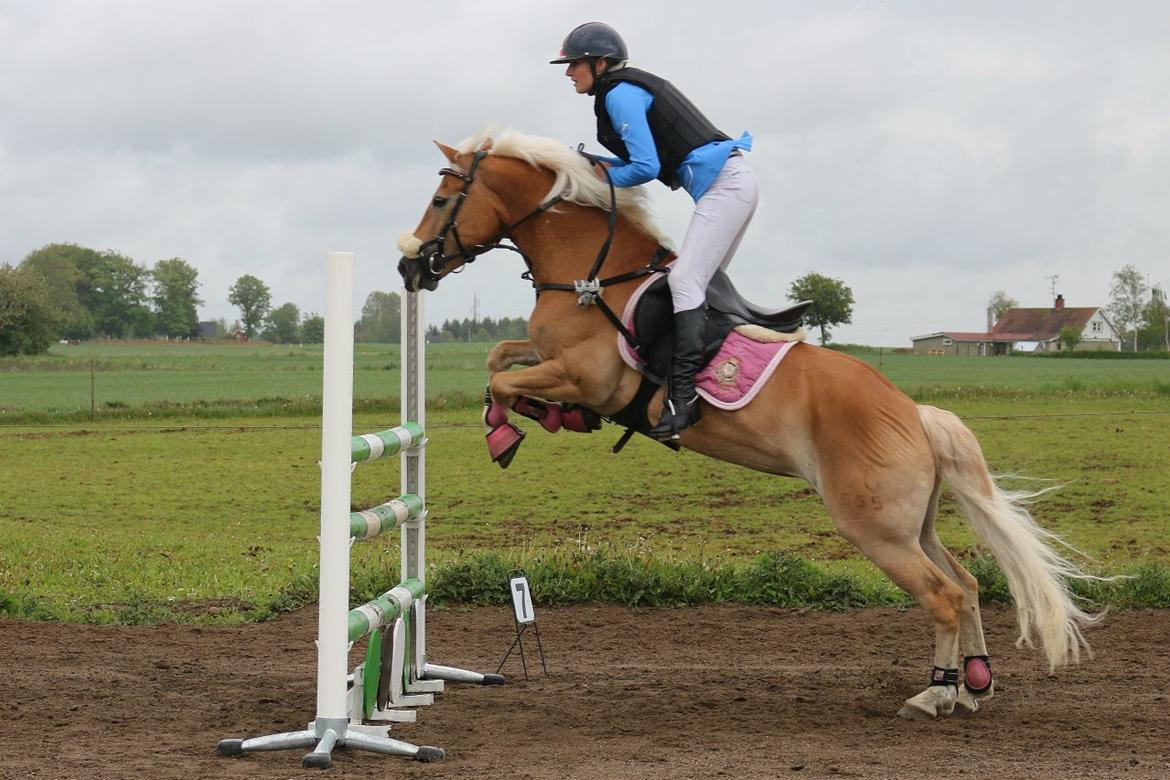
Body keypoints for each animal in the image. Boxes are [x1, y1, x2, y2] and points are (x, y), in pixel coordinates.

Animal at [397, 128, 1099, 720]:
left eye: (441, 199)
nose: (410, 267)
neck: (592, 276)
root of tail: (913, 413)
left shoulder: (587, 376)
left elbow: (502, 381)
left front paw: (507, 430)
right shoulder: (552, 361)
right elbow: (498, 358)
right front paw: (539, 419)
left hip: (876, 529)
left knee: (944, 595)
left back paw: (935, 694)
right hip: (910, 524)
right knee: (968, 583)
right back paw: (972, 683)